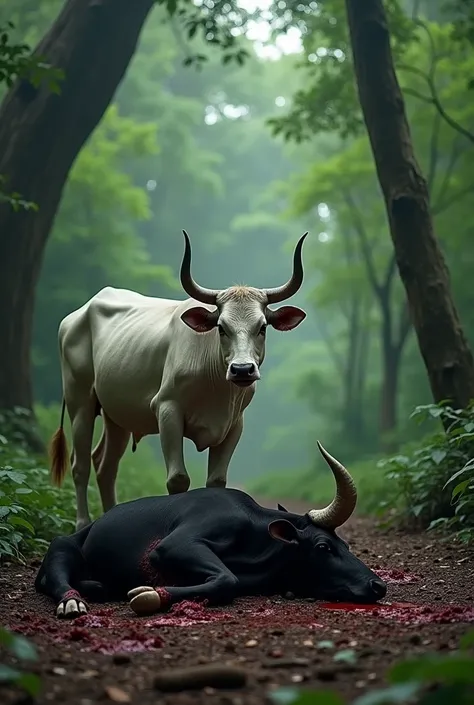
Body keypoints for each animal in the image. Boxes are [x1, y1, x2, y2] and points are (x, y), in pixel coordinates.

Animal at [36, 442, 386, 620]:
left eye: (348, 546)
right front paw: (150, 595)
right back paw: (72, 602)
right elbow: (226, 580)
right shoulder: (177, 543)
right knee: (57, 576)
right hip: (63, 544)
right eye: (324, 547)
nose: (378, 585)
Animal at [51, 231, 308, 528]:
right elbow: (178, 479)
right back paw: (82, 523)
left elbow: (216, 481)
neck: (216, 389)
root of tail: (74, 318)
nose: (242, 369)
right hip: (79, 401)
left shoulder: (234, 424)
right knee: (79, 465)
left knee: (106, 467)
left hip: (116, 416)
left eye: (262, 327)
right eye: (221, 327)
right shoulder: (167, 410)